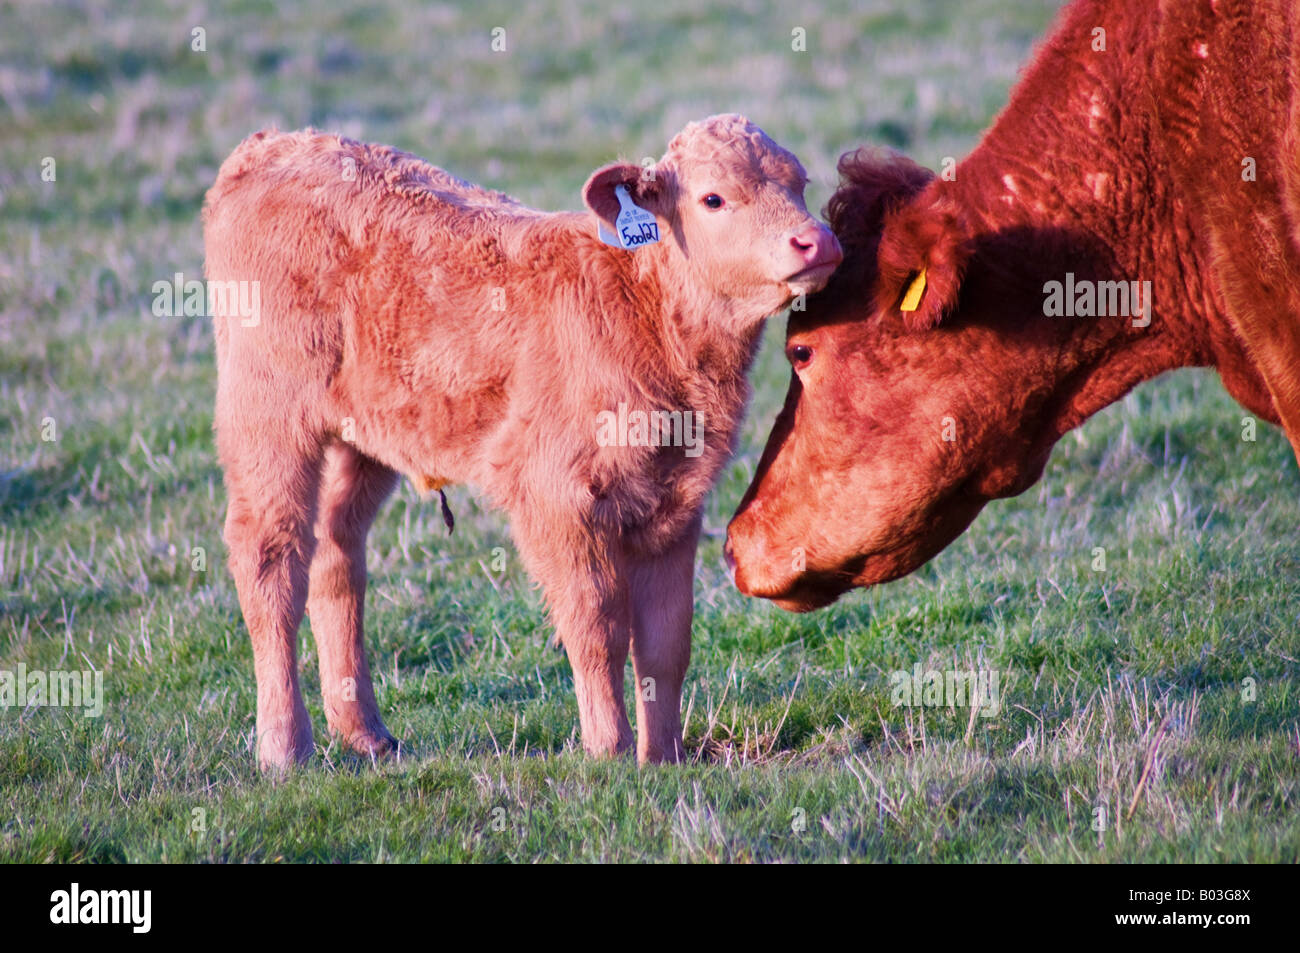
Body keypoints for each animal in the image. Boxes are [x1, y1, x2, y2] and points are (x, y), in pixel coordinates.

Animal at [203, 115, 841, 770]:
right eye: (713, 198)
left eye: (800, 183)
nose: (815, 241)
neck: (647, 312)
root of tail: (275, 143)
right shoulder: (559, 500)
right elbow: (597, 628)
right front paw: (610, 752)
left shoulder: (675, 504)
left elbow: (665, 643)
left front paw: (663, 757)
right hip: (268, 420)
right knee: (270, 558)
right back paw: (285, 746)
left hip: (362, 440)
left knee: (337, 557)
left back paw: (366, 733)